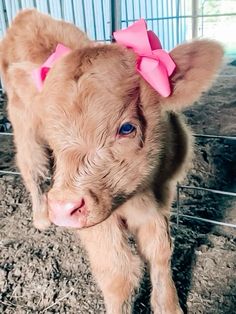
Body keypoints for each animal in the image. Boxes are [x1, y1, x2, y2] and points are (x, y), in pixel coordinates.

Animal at [0, 9, 222, 314]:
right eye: (54, 128)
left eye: (127, 128)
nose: (62, 209)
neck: (139, 193)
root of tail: (26, 14)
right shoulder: (95, 215)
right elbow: (119, 273)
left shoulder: (161, 198)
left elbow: (160, 250)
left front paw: (169, 305)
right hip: (25, 132)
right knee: (33, 169)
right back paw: (42, 217)